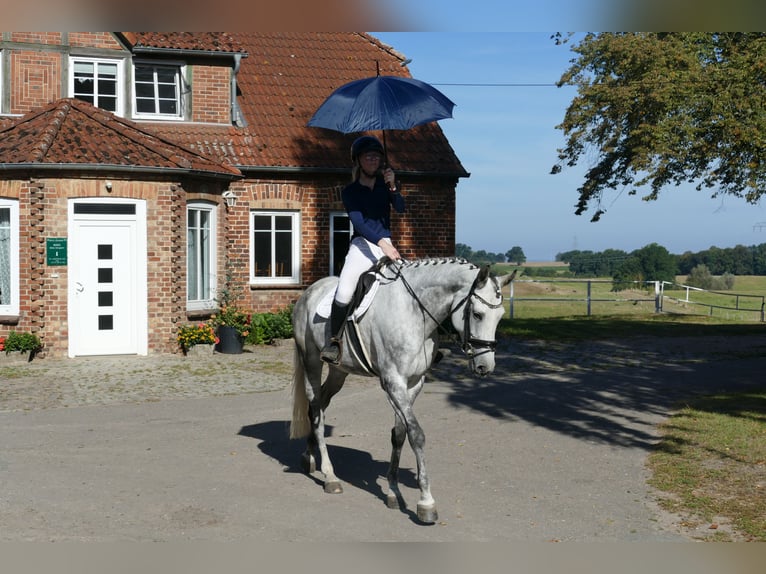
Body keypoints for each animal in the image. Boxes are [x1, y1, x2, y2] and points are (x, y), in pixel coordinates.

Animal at [290, 258, 516, 524]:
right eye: (478, 314)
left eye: (500, 316)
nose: (485, 367)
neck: (414, 312)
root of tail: (309, 291)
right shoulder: (393, 382)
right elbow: (416, 434)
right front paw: (426, 502)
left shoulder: (413, 383)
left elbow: (399, 433)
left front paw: (393, 492)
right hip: (312, 362)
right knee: (315, 409)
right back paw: (330, 476)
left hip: (339, 371)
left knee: (321, 405)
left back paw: (308, 457)